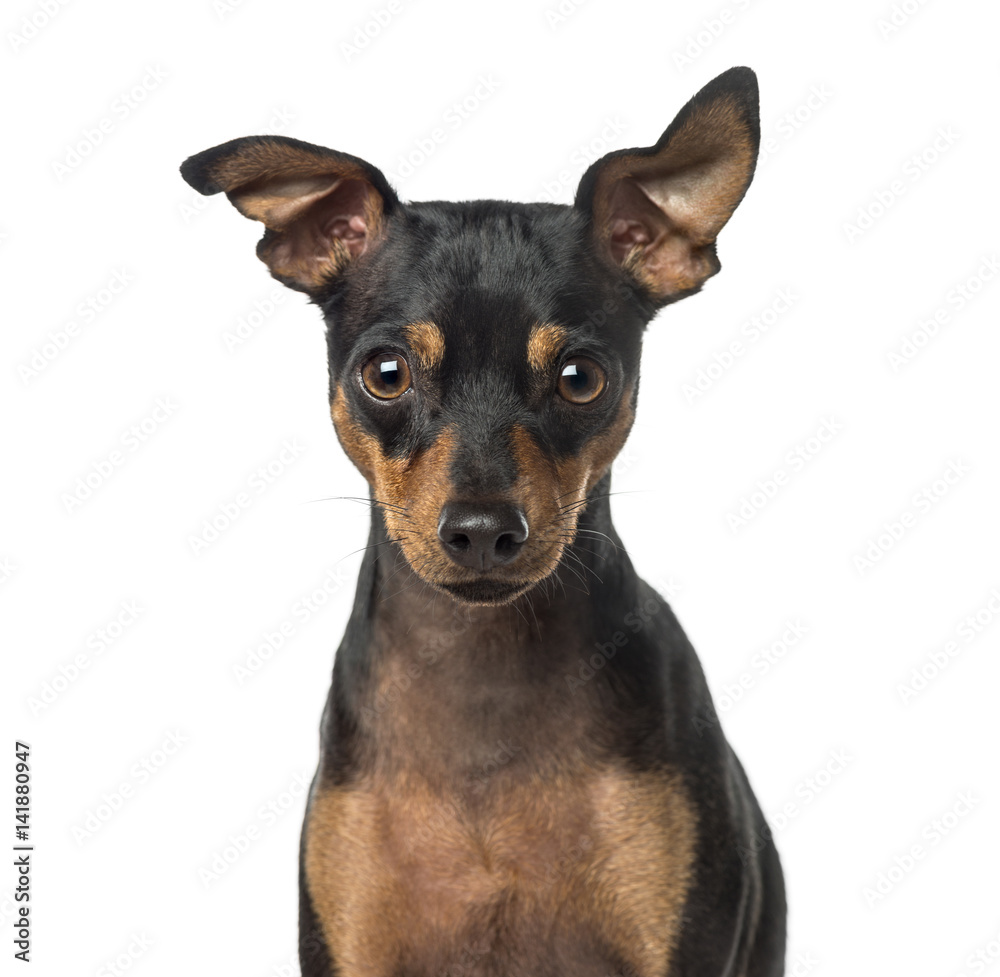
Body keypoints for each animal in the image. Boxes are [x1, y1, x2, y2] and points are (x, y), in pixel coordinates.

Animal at [184, 65, 784, 972]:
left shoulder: (684, 943)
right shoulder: (347, 943)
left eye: (581, 378)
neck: (483, 680)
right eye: (385, 373)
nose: (480, 530)